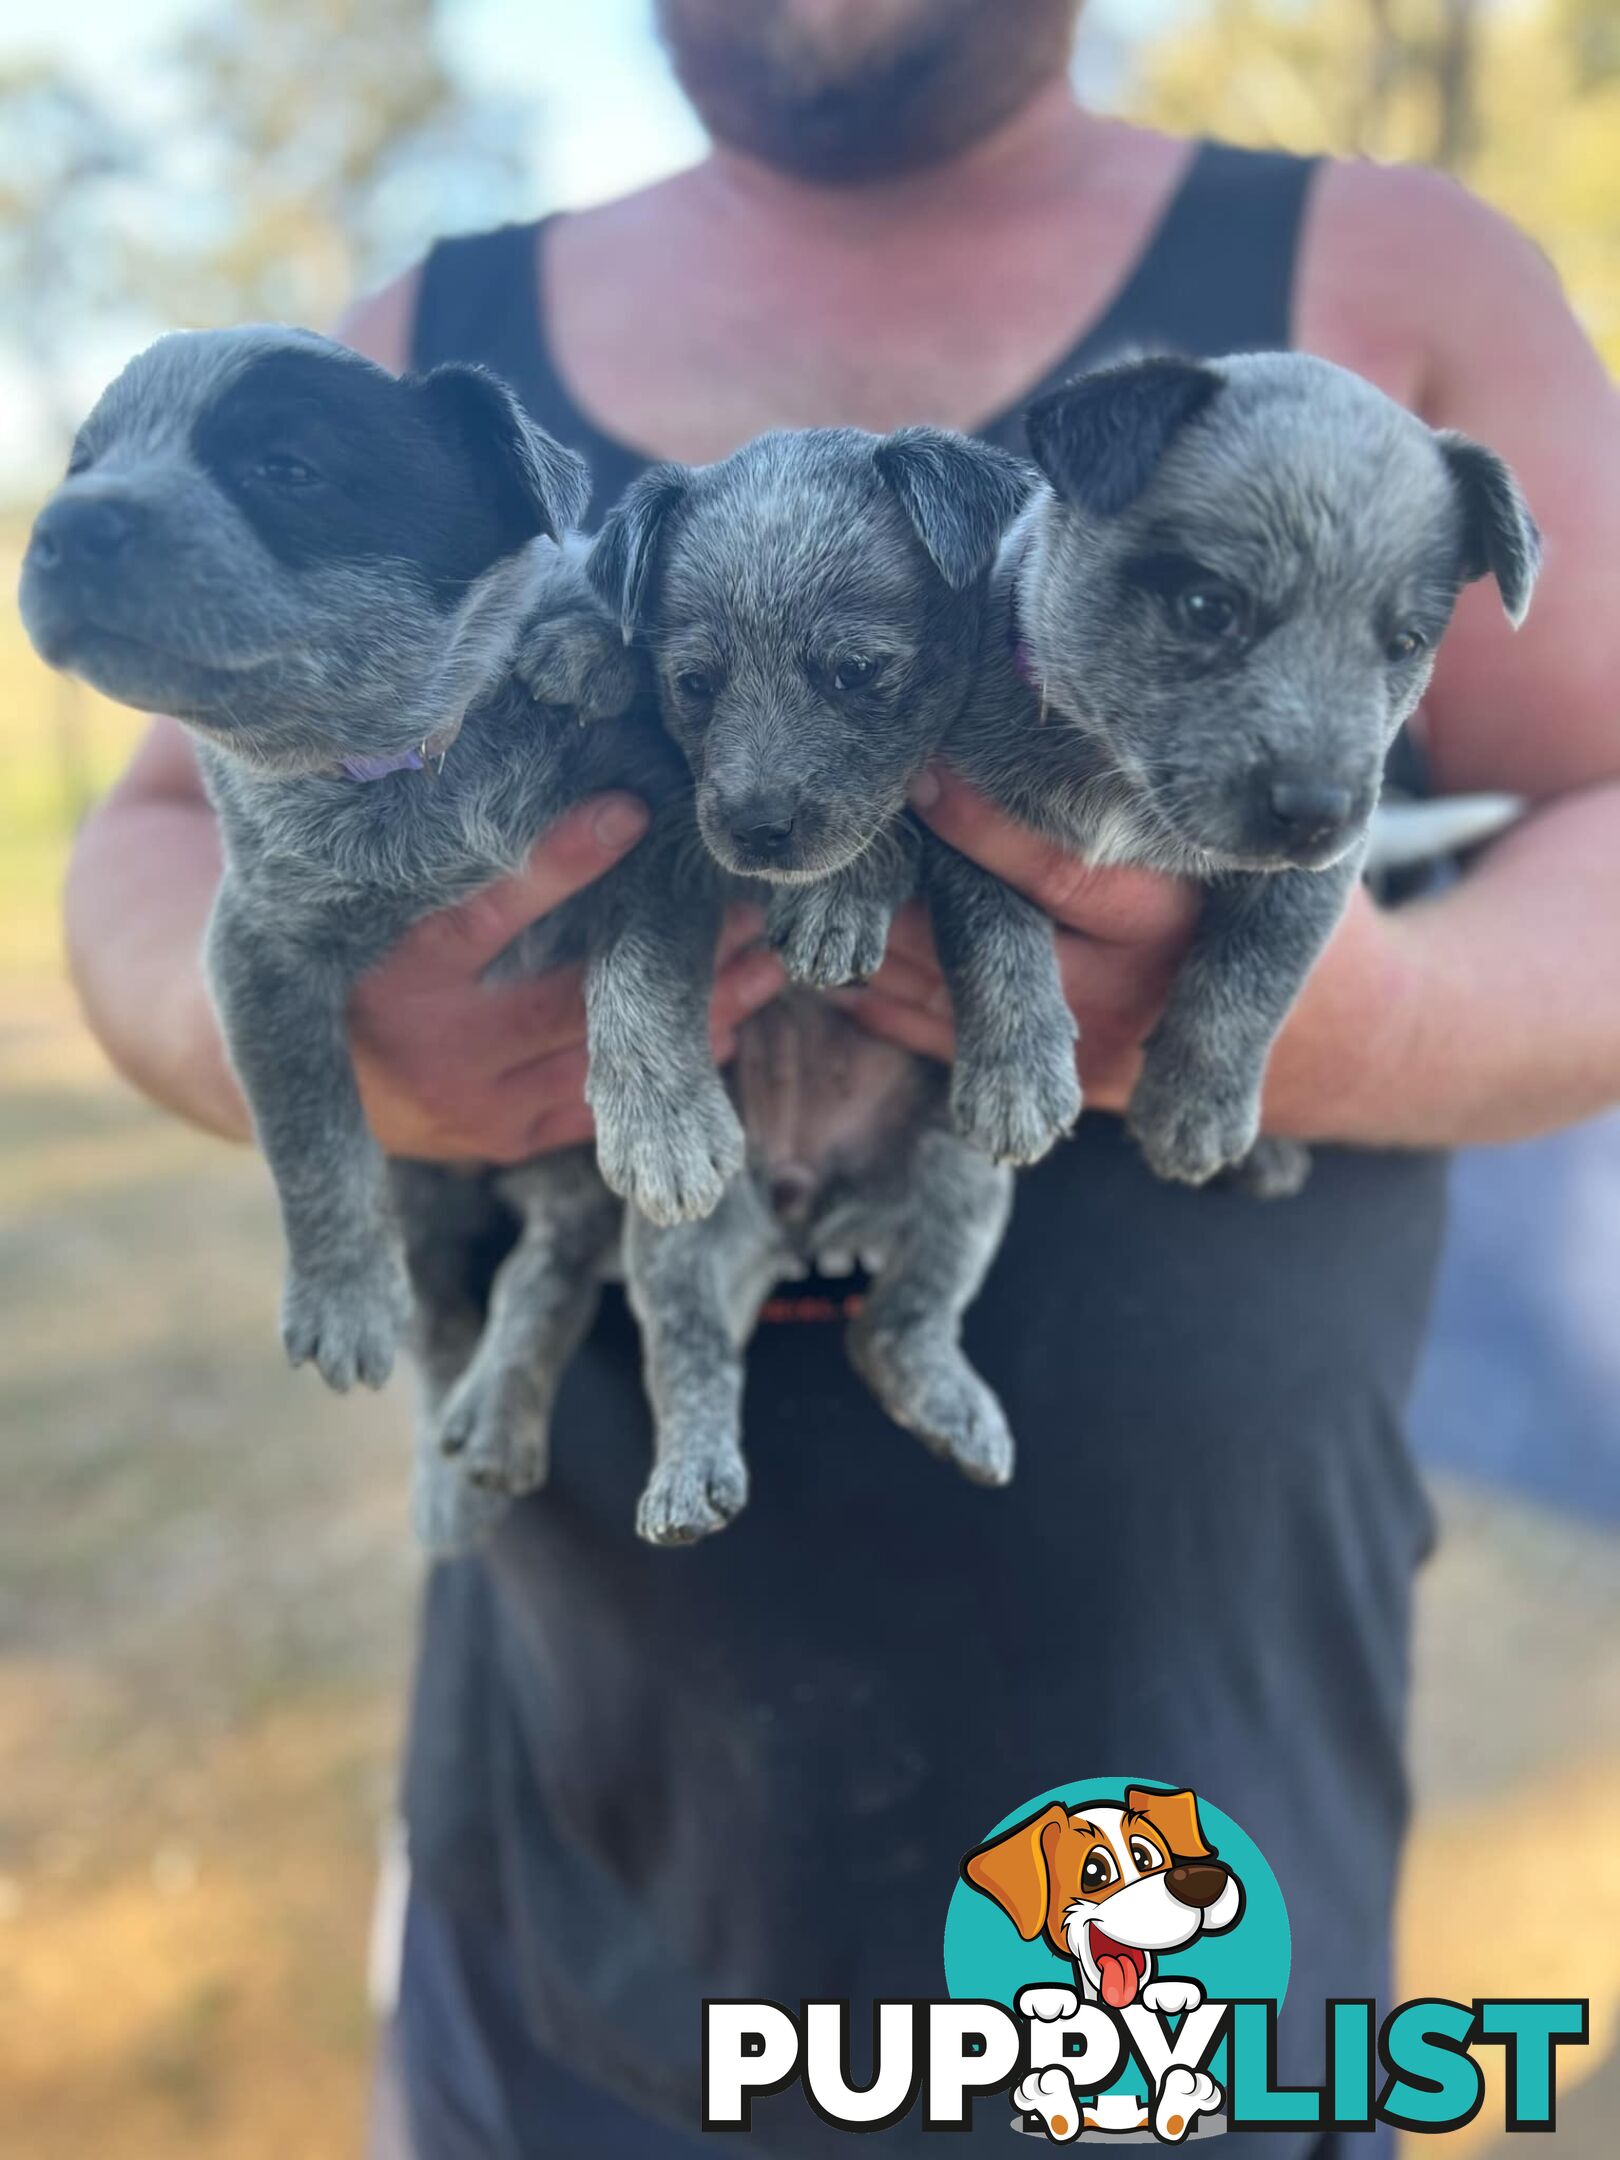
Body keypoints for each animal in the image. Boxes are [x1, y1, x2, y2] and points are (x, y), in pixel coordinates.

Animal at [933, 356, 1537, 1200]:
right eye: (1208, 607)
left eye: (1405, 643)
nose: (1318, 812)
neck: (1119, 784)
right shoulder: (967, 810)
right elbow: (991, 935)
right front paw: (1015, 1078)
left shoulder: (1314, 881)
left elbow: (1252, 979)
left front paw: (1196, 1109)